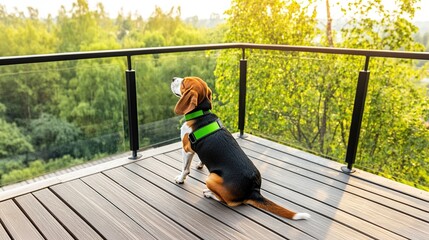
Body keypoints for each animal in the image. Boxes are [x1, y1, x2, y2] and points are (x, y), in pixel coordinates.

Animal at [170, 76, 308, 220]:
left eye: (184, 82)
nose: (173, 78)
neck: (201, 114)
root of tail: (253, 190)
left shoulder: (186, 149)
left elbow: (185, 169)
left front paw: (180, 179)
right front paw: (200, 164)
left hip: (211, 178)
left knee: (229, 202)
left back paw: (210, 193)